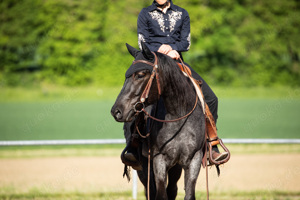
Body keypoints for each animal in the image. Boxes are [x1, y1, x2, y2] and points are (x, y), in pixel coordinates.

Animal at [111, 43, 207, 199]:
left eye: (140, 75)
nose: (116, 111)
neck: (178, 117)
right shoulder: (159, 161)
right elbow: (159, 194)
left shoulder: (194, 160)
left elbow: (188, 193)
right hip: (144, 167)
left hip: (176, 167)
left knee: (172, 189)